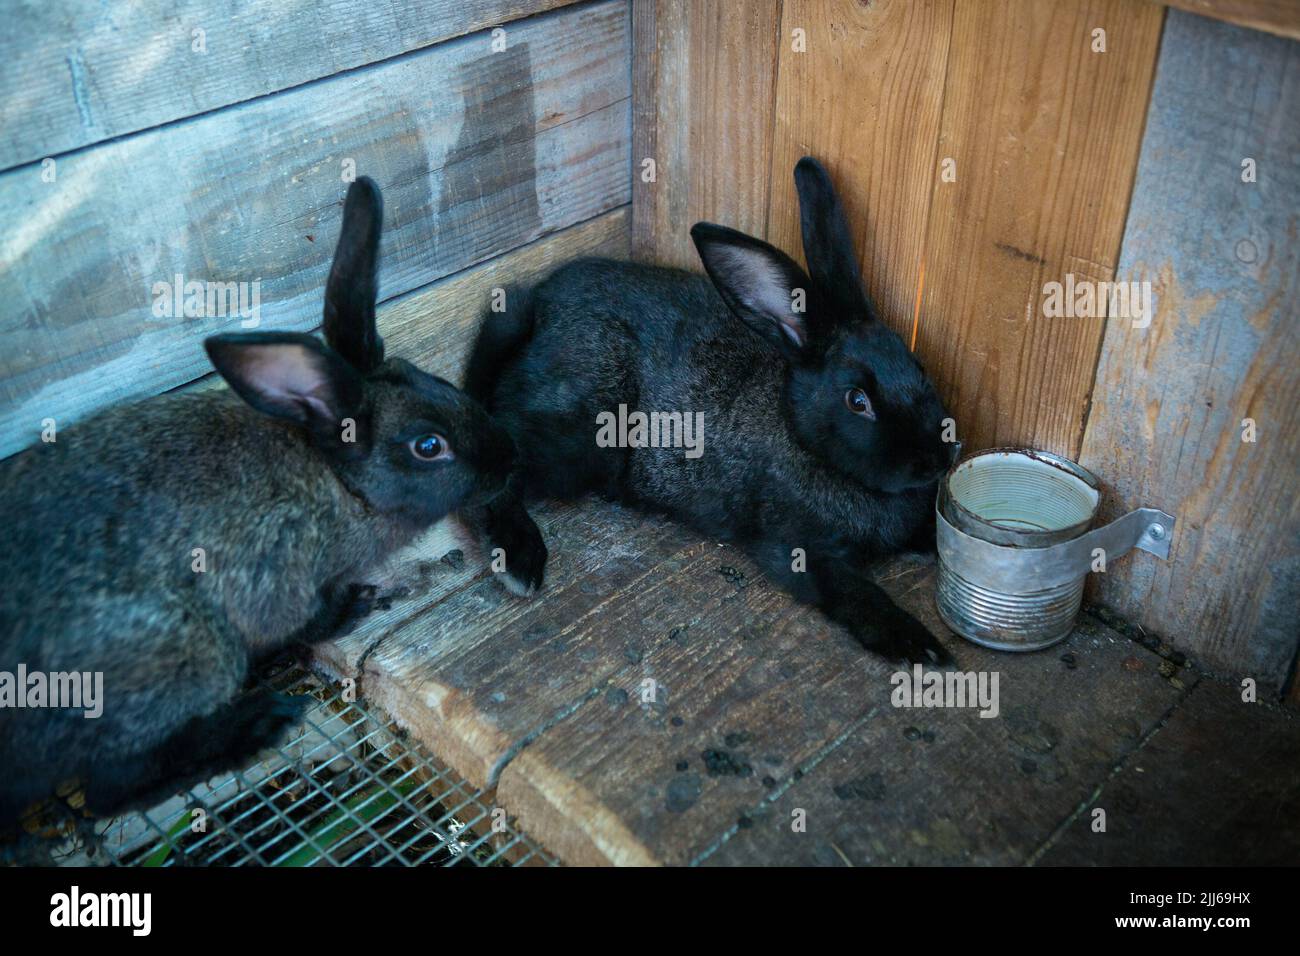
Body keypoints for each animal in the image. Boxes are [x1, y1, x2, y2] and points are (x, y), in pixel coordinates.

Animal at [0, 180, 543, 832]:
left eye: (434, 379)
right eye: (428, 446)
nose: (509, 456)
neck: (336, 481)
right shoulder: (274, 577)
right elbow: (307, 621)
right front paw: (356, 608)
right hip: (187, 658)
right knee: (112, 789)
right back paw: (256, 726)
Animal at [467, 157, 956, 665]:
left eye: (917, 365)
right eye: (857, 401)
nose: (941, 457)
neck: (804, 438)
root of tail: (535, 320)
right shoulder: (799, 550)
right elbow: (853, 593)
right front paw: (918, 645)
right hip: (577, 436)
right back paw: (520, 559)